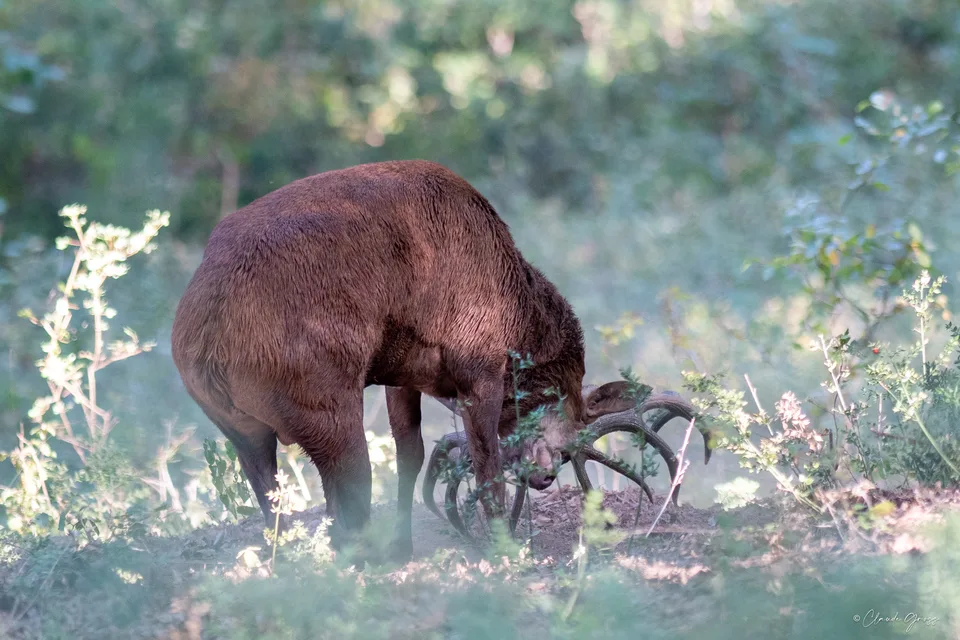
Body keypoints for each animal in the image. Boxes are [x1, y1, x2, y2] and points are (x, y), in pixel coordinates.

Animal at [171, 160, 703, 562]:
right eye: (567, 427)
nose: (545, 476)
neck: (517, 316)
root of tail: (206, 338)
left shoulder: (400, 372)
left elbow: (411, 456)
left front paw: (405, 544)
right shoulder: (478, 366)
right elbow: (487, 467)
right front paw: (504, 548)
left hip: (236, 425)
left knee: (271, 505)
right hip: (321, 399)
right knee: (347, 503)